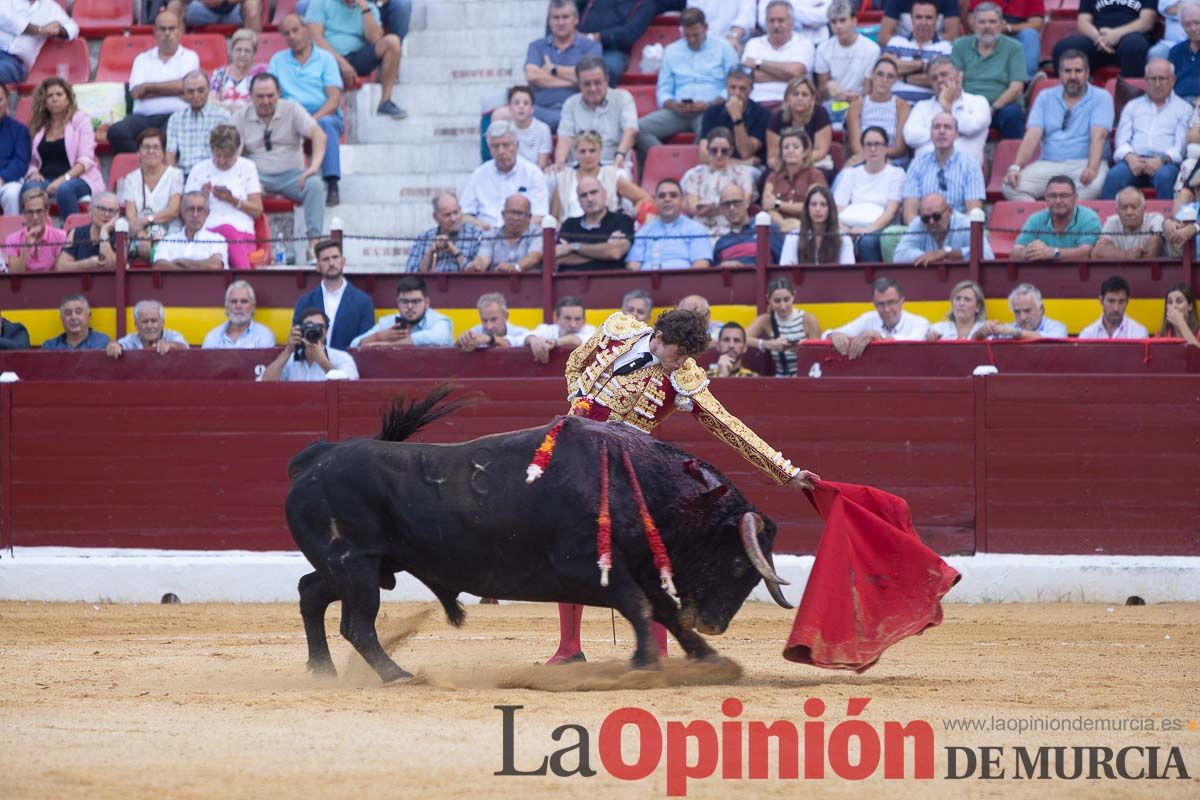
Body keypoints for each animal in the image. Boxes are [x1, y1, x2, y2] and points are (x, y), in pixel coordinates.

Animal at [284, 393, 792, 681]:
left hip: (364, 565)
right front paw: (645, 664)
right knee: (357, 624)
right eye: (738, 563)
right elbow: (641, 608)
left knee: (311, 592)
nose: (713, 623)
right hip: (356, 565)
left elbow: (663, 612)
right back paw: (396, 674)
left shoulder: (640, 570)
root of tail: (318, 455)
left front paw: (710, 659)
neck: (637, 483)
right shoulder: (588, 568)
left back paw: (322, 670)